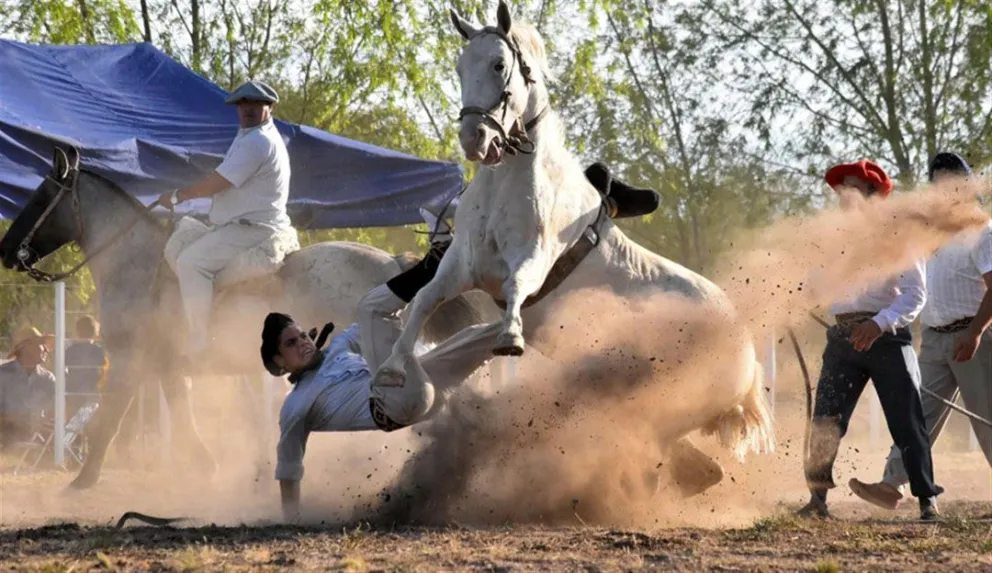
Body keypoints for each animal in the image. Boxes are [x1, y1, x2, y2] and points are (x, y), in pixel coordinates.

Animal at [0, 145, 494, 489]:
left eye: (42, 195)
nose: (6, 250)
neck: (136, 260)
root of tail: (392, 263)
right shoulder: (166, 369)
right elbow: (182, 415)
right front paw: (207, 465)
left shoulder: (128, 363)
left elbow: (109, 421)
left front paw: (81, 482)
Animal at [373, 1, 774, 478]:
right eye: (460, 65)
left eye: (499, 64)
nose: (475, 139)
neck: (508, 185)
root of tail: (748, 355)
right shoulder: (460, 267)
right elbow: (424, 301)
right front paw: (392, 368)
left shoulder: (532, 259)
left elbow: (515, 287)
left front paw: (510, 336)